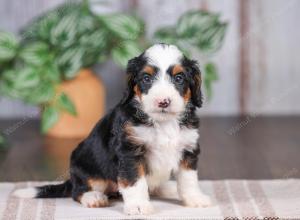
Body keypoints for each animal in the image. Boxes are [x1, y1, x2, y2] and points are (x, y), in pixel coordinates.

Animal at [13, 43, 211, 215]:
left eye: (179, 78)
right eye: (146, 78)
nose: (163, 101)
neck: (163, 122)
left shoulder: (188, 148)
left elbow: (188, 179)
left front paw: (195, 198)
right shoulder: (129, 151)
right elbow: (135, 181)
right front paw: (138, 205)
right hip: (86, 169)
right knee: (78, 191)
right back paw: (93, 197)